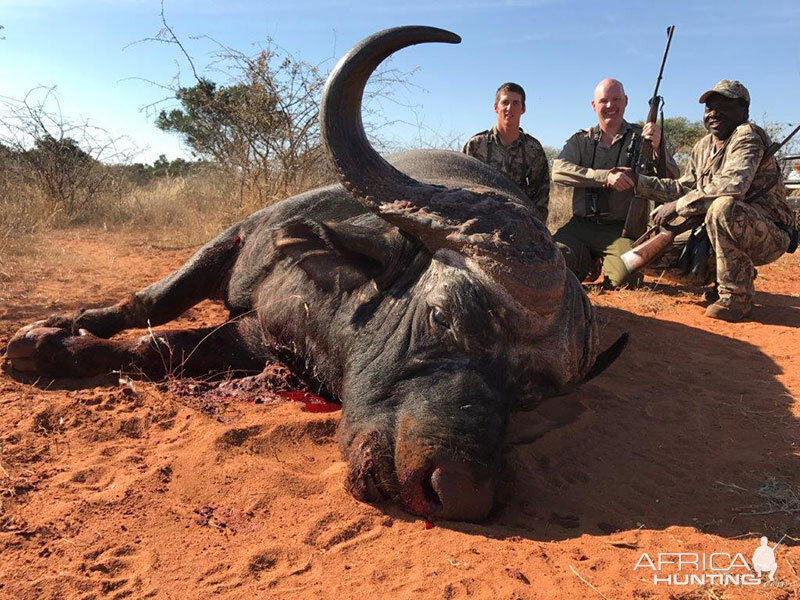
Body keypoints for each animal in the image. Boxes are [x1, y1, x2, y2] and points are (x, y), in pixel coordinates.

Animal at [4, 27, 624, 520]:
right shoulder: (235, 240)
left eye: (532, 394)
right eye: (441, 316)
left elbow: (163, 348)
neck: (330, 310)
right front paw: (52, 332)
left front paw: (63, 347)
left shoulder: (259, 340)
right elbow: (153, 303)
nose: (455, 492)